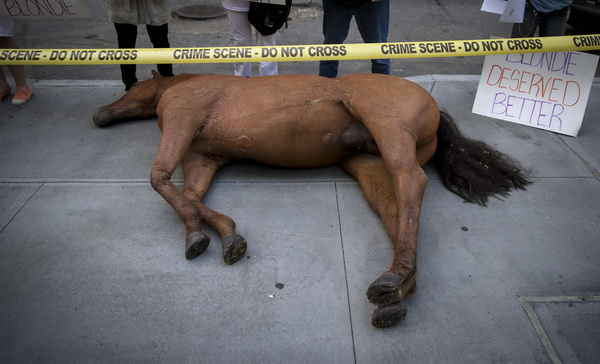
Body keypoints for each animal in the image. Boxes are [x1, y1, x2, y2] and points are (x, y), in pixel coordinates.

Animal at [94, 70, 528, 328]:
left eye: (133, 85)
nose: (101, 114)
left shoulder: (182, 120)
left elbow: (159, 178)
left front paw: (214, 236)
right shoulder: (204, 157)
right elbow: (189, 195)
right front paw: (212, 235)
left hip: (385, 125)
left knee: (412, 181)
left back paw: (393, 282)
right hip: (367, 165)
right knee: (397, 211)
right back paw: (395, 290)